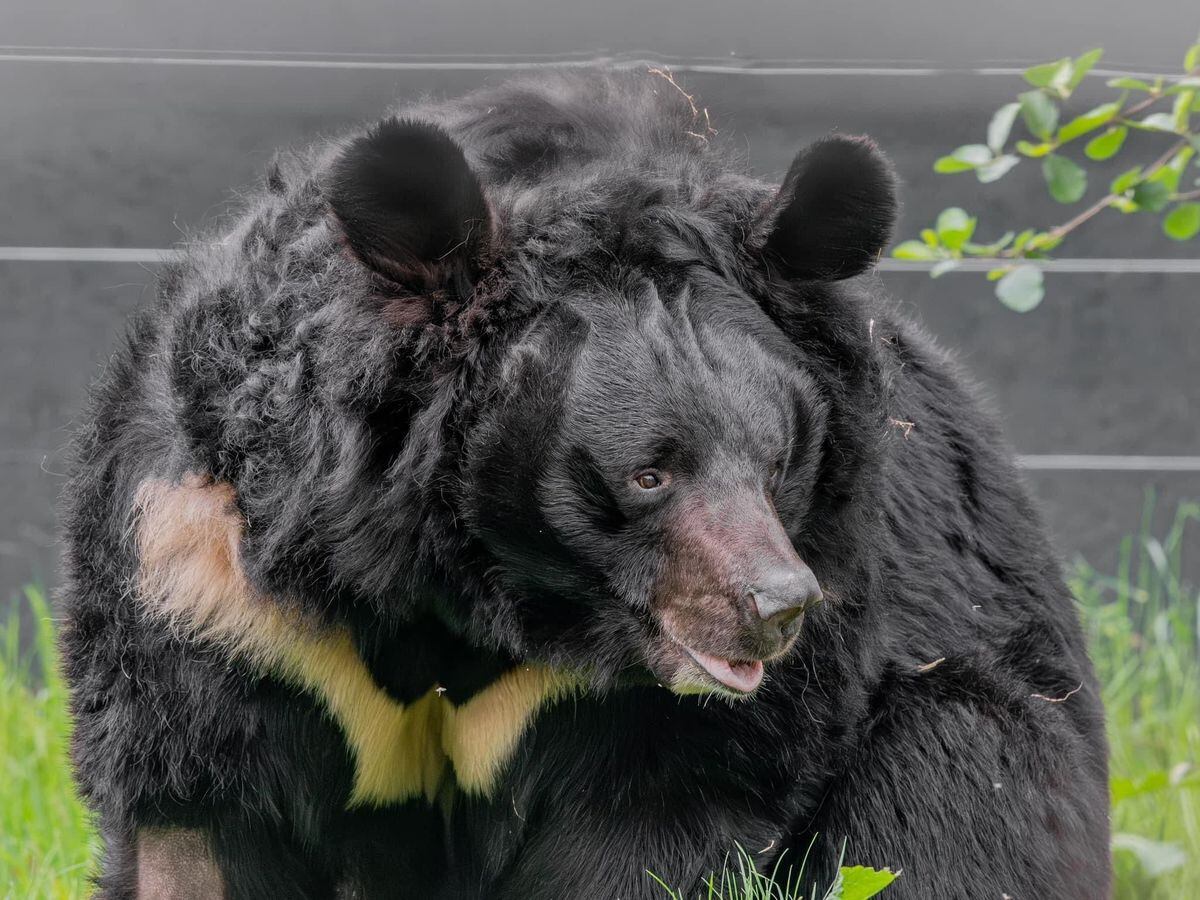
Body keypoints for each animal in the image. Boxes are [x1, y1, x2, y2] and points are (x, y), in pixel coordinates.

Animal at [60, 72, 1108, 900]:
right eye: (649, 475)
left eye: (778, 465)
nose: (776, 608)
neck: (468, 586)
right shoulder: (208, 584)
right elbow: (202, 815)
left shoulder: (676, 717)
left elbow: (661, 817)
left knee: (955, 767)